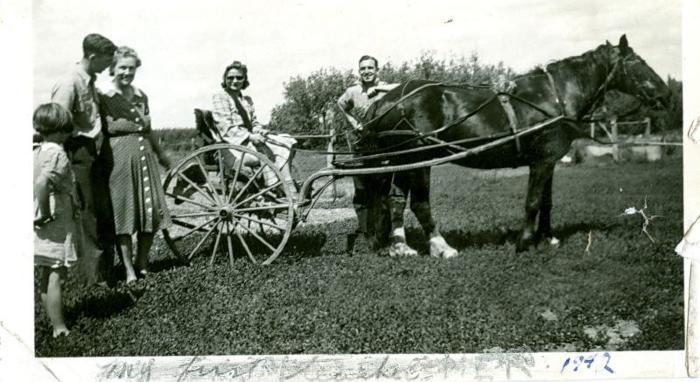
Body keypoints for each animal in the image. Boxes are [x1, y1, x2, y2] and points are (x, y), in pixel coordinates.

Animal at [360, 35, 672, 256]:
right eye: (638, 62)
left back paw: (399, 246)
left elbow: (546, 202)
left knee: (394, 200)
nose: (666, 95)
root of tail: (386, 100)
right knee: (420, 204)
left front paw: (548, 237)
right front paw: (524, 242)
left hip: (403, 160)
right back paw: (441, 246)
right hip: (420, 160)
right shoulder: (542, 160)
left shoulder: (548, 160)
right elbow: (533, 201)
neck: (554, 97)